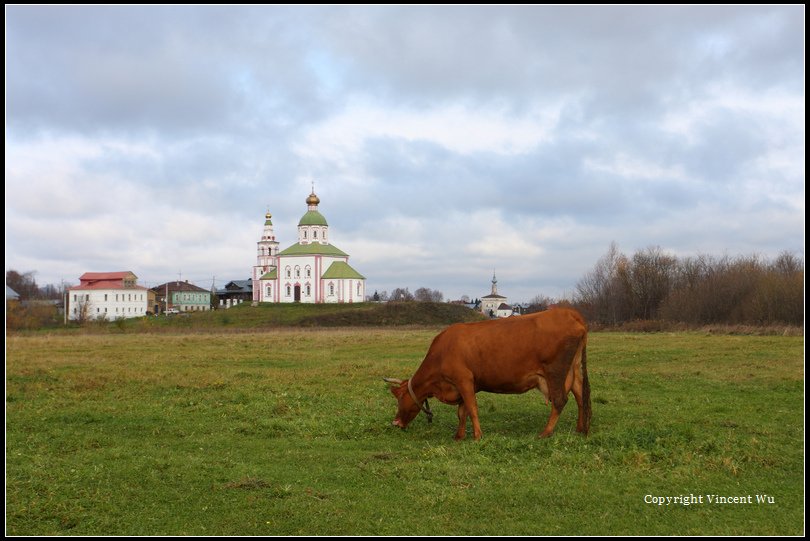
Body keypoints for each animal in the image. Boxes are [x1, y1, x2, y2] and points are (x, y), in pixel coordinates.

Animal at [386, 304, 588, 438]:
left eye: (399, 397)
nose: (395, 422)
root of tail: (568, 312)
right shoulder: (466, 385)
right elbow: (462, 412)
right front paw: (459, 436)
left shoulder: (464, 380)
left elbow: (472, 409)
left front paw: (477, 436)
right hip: (574, 370)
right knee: (580, 395)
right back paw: (580, 429)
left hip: (555, 372)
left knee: (561, 400)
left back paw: (545, 433)